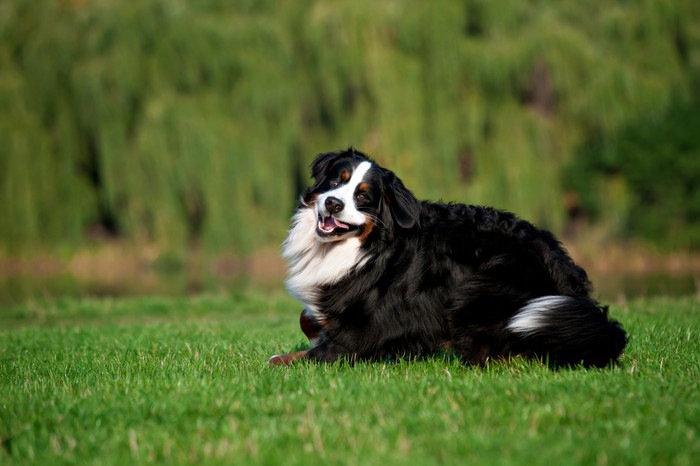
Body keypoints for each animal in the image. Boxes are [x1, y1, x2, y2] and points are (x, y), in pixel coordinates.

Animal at [270, 149, 628, 368]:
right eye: (336, 180)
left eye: (363, 196)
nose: (332, 204)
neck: (363, 248)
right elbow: (307, 318)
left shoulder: (366, 330)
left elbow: (317, 352)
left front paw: (281, 359)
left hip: (475, 290)